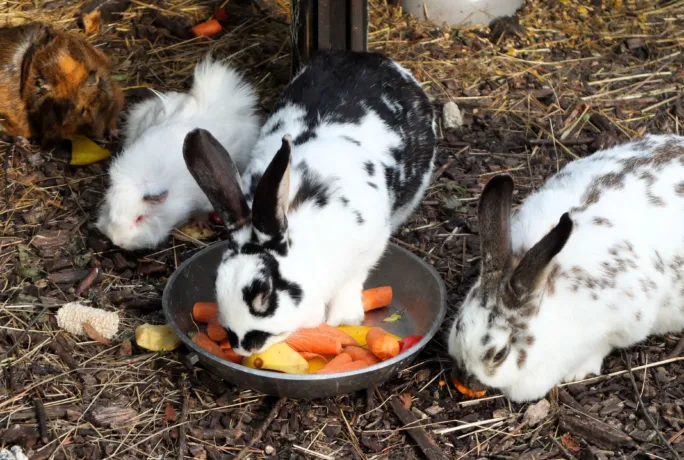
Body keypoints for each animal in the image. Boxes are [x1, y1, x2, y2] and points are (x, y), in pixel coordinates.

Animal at [95, 58, 261, 251]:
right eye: (111, 211)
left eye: (140, 218)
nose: (117, 241)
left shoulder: (203, 201)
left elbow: (201, 213)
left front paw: (201, 224)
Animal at [182, 49, 436, 356]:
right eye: (216, 285)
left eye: (265, 294)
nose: (244, 347)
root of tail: (371, 58)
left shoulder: (371, 244)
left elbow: (353, 280)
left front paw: (344, 318)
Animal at [448, 134, 684, 403]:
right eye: (458, 325)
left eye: (500, 354)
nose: (467, 379)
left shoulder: (628, 323)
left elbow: (604, 346)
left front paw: (578, 372)